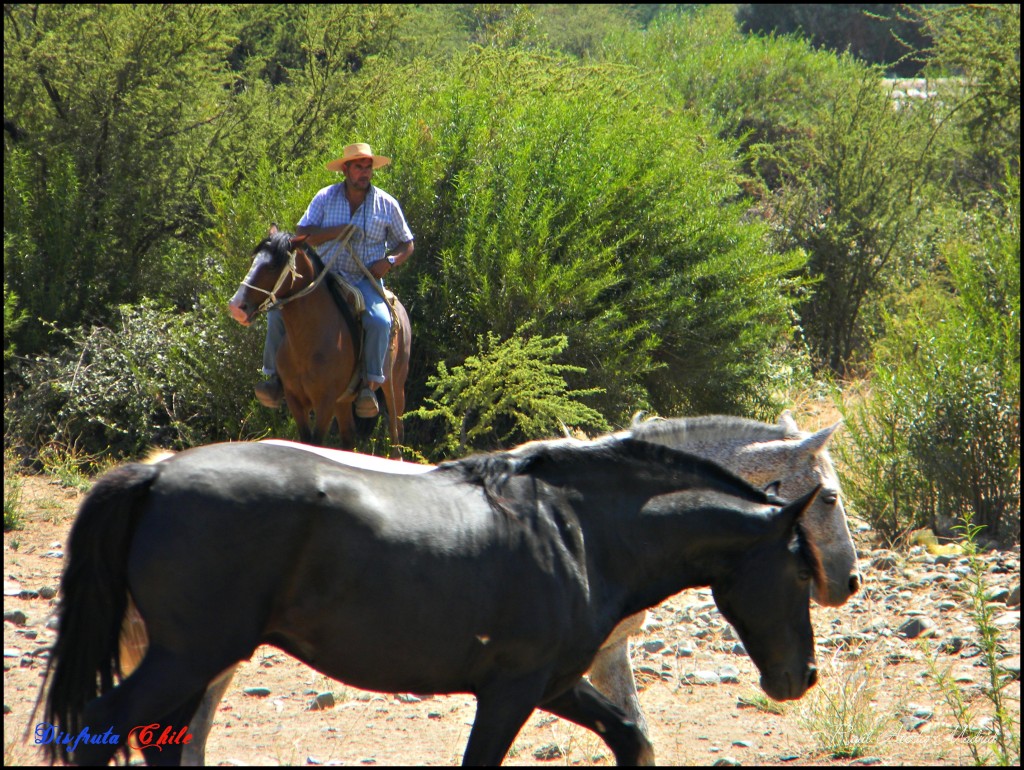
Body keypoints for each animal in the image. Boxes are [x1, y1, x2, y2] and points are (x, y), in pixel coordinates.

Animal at [229, 228, 411, 456]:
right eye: (253, 260)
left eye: (271, 266)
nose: (236, 306)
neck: (307, 342)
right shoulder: (295, 399)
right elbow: (306, 440)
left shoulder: (325, 402)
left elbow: (316, 443)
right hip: (344, 401)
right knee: (348, 437)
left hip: (394, 386)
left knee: (397, 435)